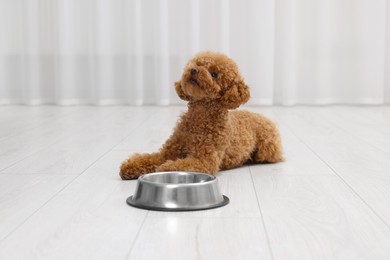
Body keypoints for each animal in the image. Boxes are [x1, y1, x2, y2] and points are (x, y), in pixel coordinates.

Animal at [119, 51, 284, 180]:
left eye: (214, 74)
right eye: (197, 64)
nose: (193, 70)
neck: (198, 118)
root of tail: (264, 118)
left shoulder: (205, 161)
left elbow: (182, 165)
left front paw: (165, 169)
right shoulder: (167, 152)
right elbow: (149, 158)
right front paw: (130, 166)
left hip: (267, 150)